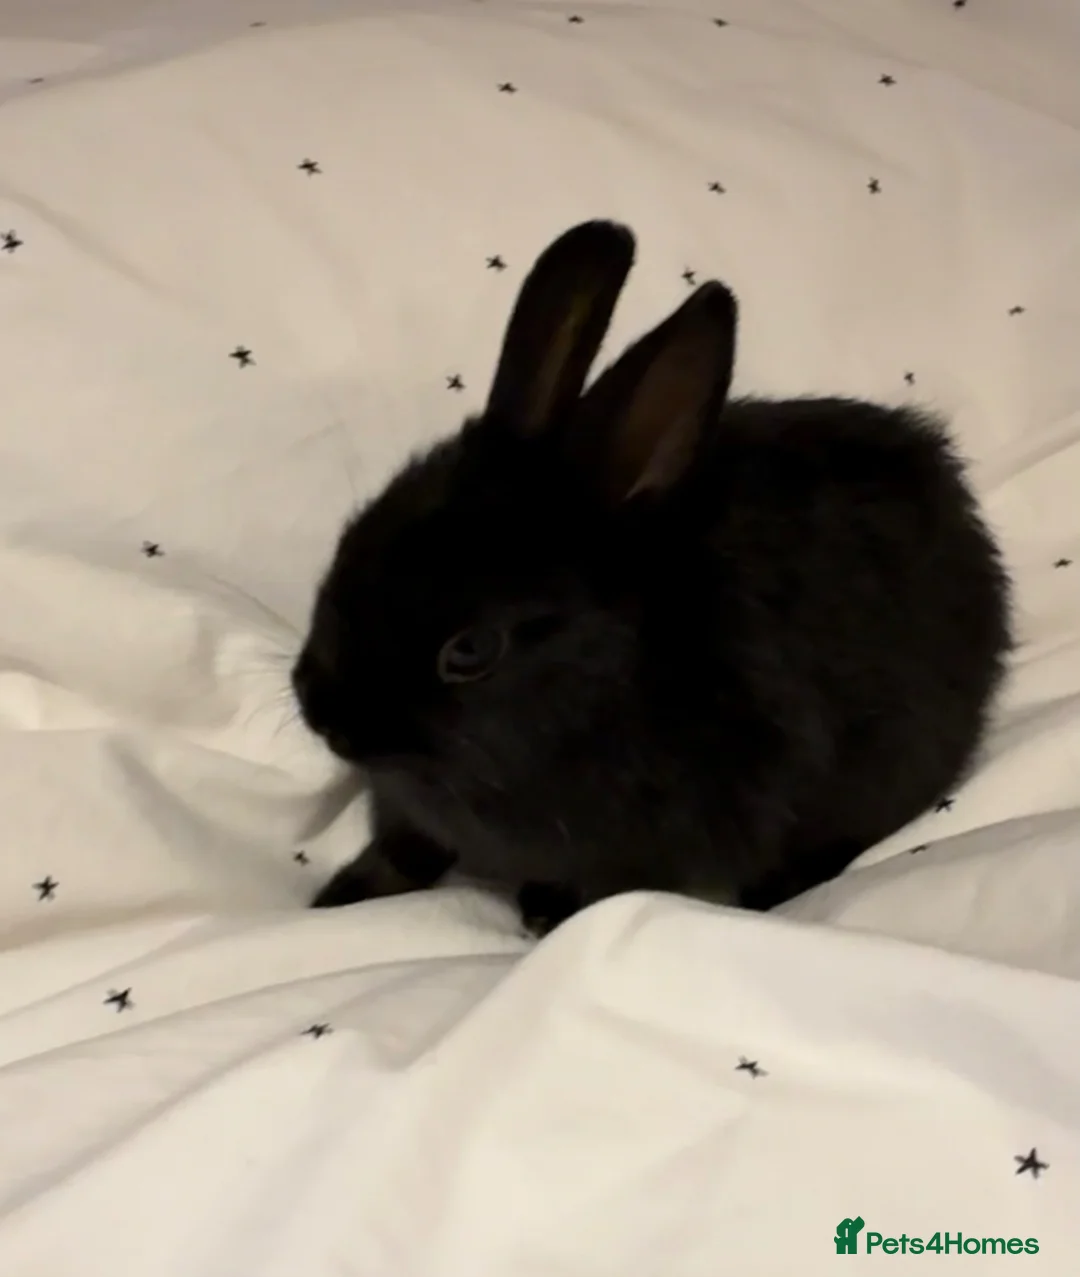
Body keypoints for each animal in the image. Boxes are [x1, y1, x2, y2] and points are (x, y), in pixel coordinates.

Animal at [292, 219, 1012, 936]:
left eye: (469, 651)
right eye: (351, 540)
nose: (321, 713)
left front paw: (547, 914)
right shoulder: (413, 814)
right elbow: (402, 848)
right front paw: (339, 898)